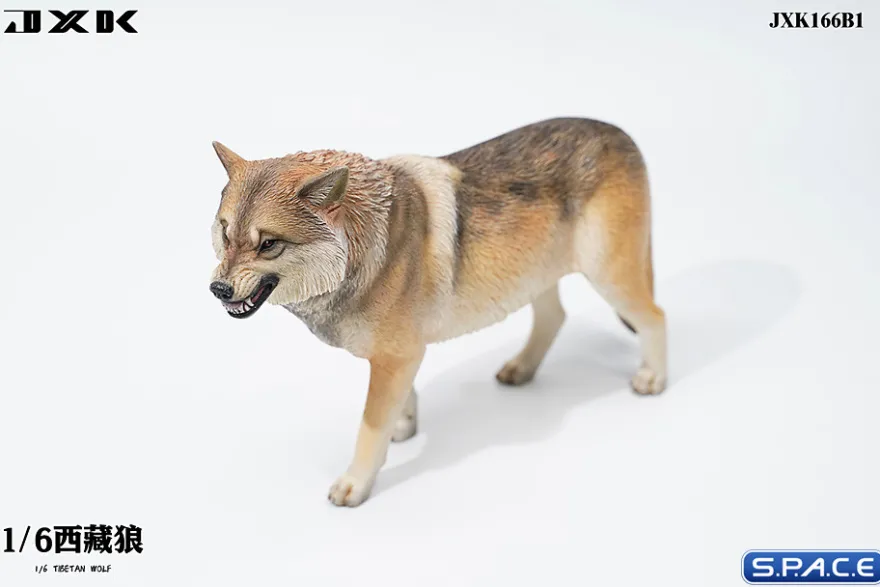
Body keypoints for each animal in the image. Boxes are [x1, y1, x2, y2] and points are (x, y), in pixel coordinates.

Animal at [208, 118, 667, 507]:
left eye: (269, 244)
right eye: (225, 233)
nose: (218, 289)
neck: (367, 246)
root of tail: (620, 133)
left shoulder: (396, 356)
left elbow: (369, 426)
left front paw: (356, 483)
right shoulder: (400, 355)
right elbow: (402, 401)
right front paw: (404, 428)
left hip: (610, 277)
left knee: (655, 316)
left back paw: (654, 379)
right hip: (534, 277)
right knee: (555, 318)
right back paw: (520, 369)